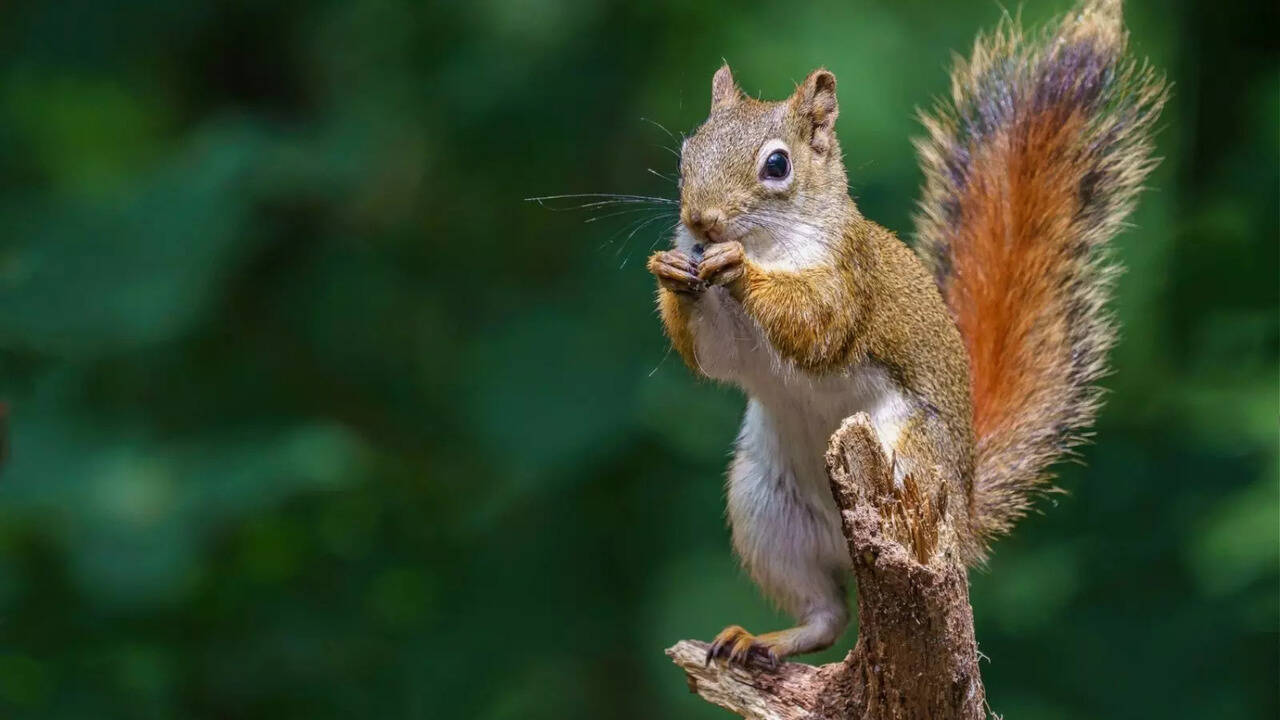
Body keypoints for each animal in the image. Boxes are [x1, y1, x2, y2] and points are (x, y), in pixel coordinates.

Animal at [646, 0, 1165, 667]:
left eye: (777, 165)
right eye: (687, 152)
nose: (700, 222)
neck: (770, 243)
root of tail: (965, 517)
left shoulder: (849, 279)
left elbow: (816, 324)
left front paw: (738, 269)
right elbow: (715, 357)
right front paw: (672, 272)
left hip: (909, 455)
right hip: (767, 508)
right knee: (826, 615)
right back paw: (760, 639)